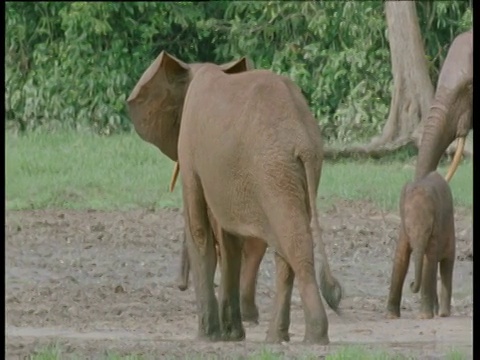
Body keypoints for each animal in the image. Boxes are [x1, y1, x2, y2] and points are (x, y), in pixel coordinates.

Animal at [126, 52, 342, 344]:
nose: (180, 285)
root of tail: (303, 138)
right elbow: (228, 241)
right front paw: (232, 335)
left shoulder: (190, 151)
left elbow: (200, 231)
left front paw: (207, 336)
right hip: (300, 170)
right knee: (286, 244)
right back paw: (277, 337)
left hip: (273, 172)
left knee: (293, 241)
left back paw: (313, 337)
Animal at [386, 170, 458, 320]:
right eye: (408, 227)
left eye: (428, 229)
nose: (411, 283)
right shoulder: (403, 230)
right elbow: (400, 258)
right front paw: (391, 316)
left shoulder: (436, 227)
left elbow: (427, 260)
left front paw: (424, 317)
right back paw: (437, 312)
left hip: (450, 231)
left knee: (446, 266)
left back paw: (443, 314)